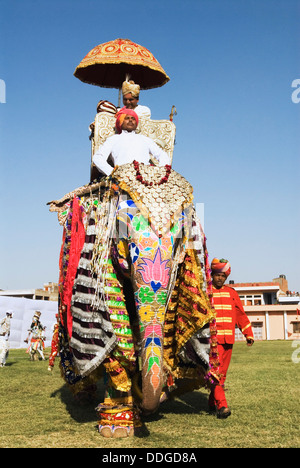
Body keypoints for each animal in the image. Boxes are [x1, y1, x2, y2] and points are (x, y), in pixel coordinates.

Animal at [48, 163, 219, 436]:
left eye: (180, 242)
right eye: (123, 235)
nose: (161, 396)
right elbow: (115, 342)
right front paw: (116, 427)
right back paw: (85, 396)